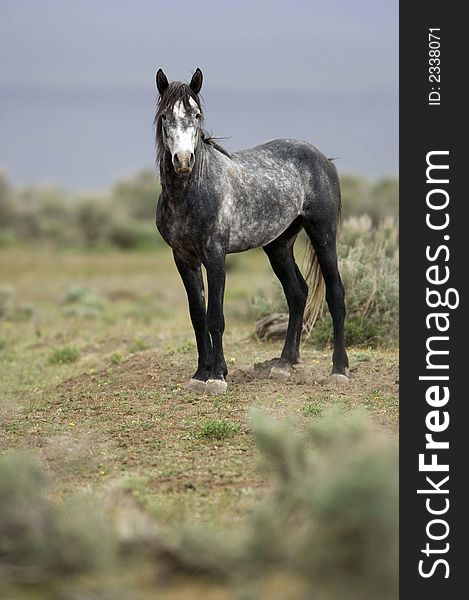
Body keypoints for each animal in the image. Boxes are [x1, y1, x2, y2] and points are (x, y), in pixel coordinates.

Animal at [154, 68, 348, 394]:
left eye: (196, 114)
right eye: (165, 116)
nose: (182, 160)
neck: (193, 191)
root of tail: (324, 159)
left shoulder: (215, 255)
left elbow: (215, 317)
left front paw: (217, 377)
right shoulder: (183, 258)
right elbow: (197, 315)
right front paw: (200, 374)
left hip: (322, 234)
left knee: (335, 293)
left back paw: (339, 369)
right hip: (278, 245)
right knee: (298, 293)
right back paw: (284, 364)